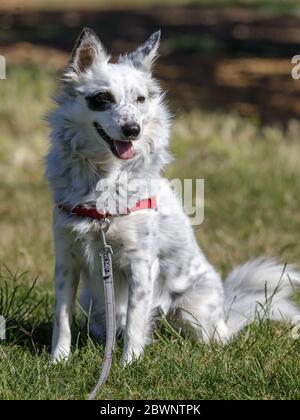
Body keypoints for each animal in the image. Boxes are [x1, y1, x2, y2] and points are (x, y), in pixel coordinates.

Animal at [45, 28, 298, 364]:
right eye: (103, 98)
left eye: (140, 99)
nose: (133, 130)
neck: (103, 180)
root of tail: (225, 315)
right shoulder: (66, 261)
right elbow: (61, 319)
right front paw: (57, 360)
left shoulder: (140, 264)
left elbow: (136, 320)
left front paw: (128, 364)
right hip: (92, 300)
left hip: (193, 310)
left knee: (208, 338)